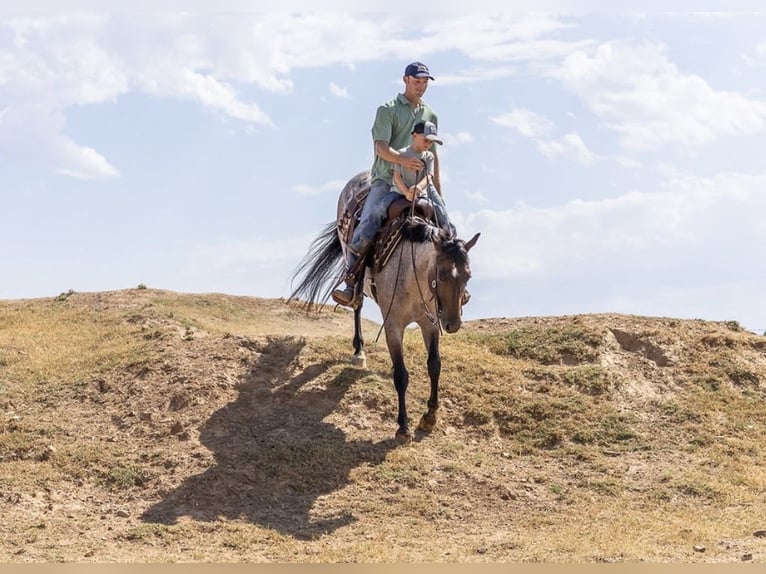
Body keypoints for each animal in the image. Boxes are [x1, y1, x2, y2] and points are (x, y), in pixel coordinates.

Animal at [289, 171, 479, 442]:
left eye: (468, 276)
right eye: (442, 275)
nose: (453, 324)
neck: (412, 273)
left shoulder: (429, 323)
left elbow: (434, 365)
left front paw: (429, 417)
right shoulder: (393, 326)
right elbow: (401, 374)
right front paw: (403, 426)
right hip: (353, 267)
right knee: (357, 303)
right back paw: (359, 350)